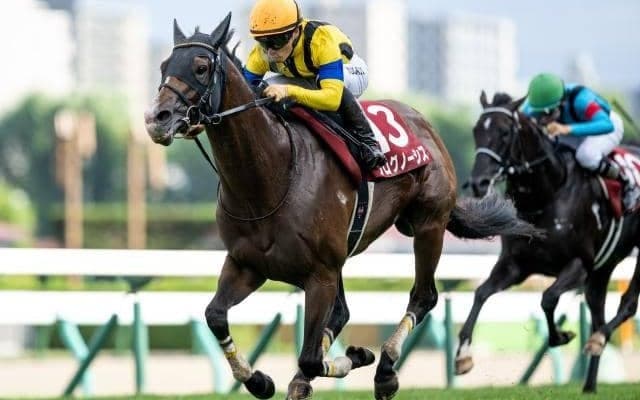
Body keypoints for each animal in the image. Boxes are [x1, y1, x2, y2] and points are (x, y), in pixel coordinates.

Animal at [144, 15, 540, 400]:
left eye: (200, 67)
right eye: (163, 65)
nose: (156, 119)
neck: (269, 178)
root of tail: (425, 124)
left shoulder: (320, 274)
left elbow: (310, 355)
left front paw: (354, 358)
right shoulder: (247, 265)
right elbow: (215, 316)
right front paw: (259, 380)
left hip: (428, 225)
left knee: (423, 296)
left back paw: (385, 370)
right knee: (343, 314)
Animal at [459, 91, 640, 393]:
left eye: (505, 132)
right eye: (475, 130)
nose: (479, 182)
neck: (548, 194)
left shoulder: (579, 265)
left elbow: (548, 298)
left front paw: (562, 336)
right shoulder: (515, 265)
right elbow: (481, 293)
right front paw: (462, 356)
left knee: (627, 304)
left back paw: (597, 340)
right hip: (603, 269)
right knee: (598, 312)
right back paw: (589, 384)